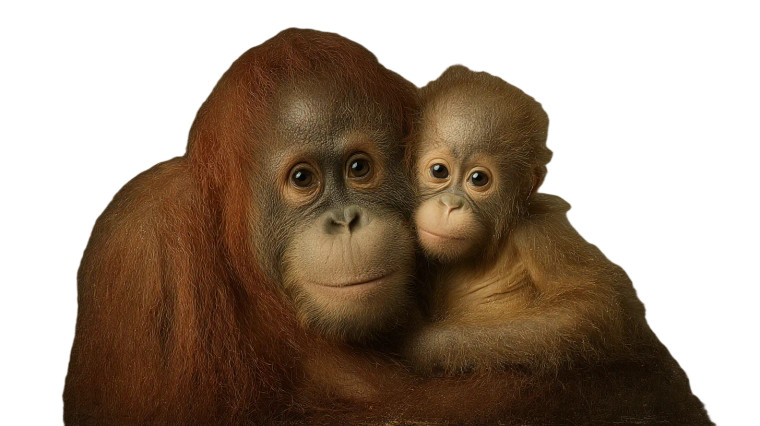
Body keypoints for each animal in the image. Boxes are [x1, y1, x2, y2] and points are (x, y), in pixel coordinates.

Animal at [402, 65, 642, 375]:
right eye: (439, 171)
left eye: (478, 178)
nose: (450, 205)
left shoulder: (540, 233)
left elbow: (588, 305)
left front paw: (425, 343)